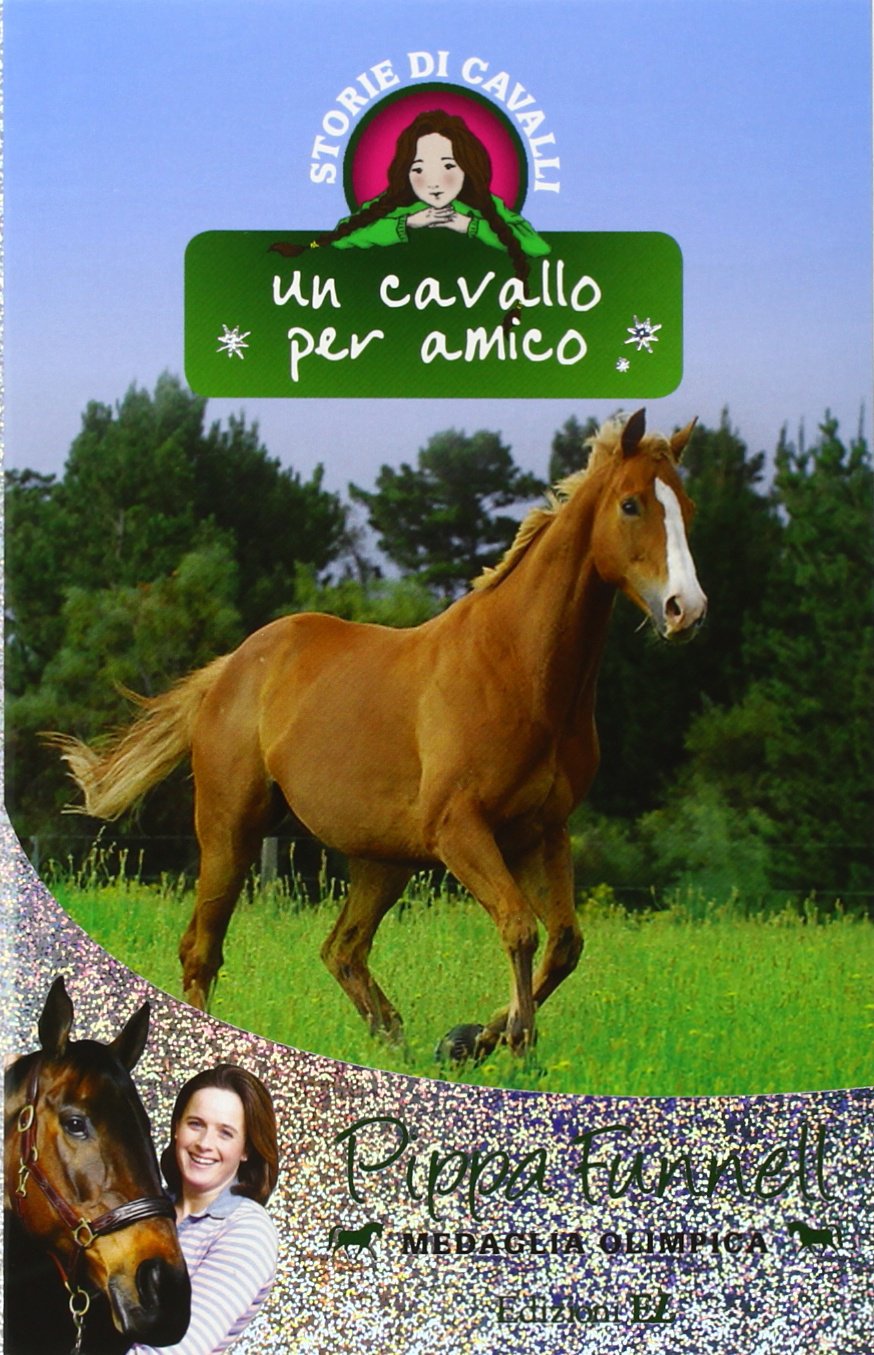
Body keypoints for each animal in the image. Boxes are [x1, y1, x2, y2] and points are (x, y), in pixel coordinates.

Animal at [48, 408, 707, 1056]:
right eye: (631, 504)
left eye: (688, 508)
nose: (686, 610)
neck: (518, 669)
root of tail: (231, 668)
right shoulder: (461, 829)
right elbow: (519, 927)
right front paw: (512, 1043)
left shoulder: (540, 832)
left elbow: (564, 942)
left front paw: (475, 1039)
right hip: (231, 831)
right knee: (203, 950)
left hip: (383, 858)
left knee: (343, 950)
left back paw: (397, 1045)